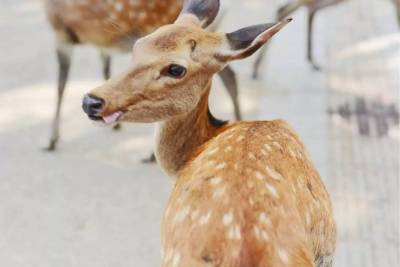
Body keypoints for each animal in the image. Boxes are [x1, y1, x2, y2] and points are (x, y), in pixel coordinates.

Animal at [45, 0, 242, 155]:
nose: (89, 103)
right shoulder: (102, 42)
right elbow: (106, 71)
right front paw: (115, 124)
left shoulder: (60, 30)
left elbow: (61, 84)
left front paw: (51, 140)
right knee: (229, 75)